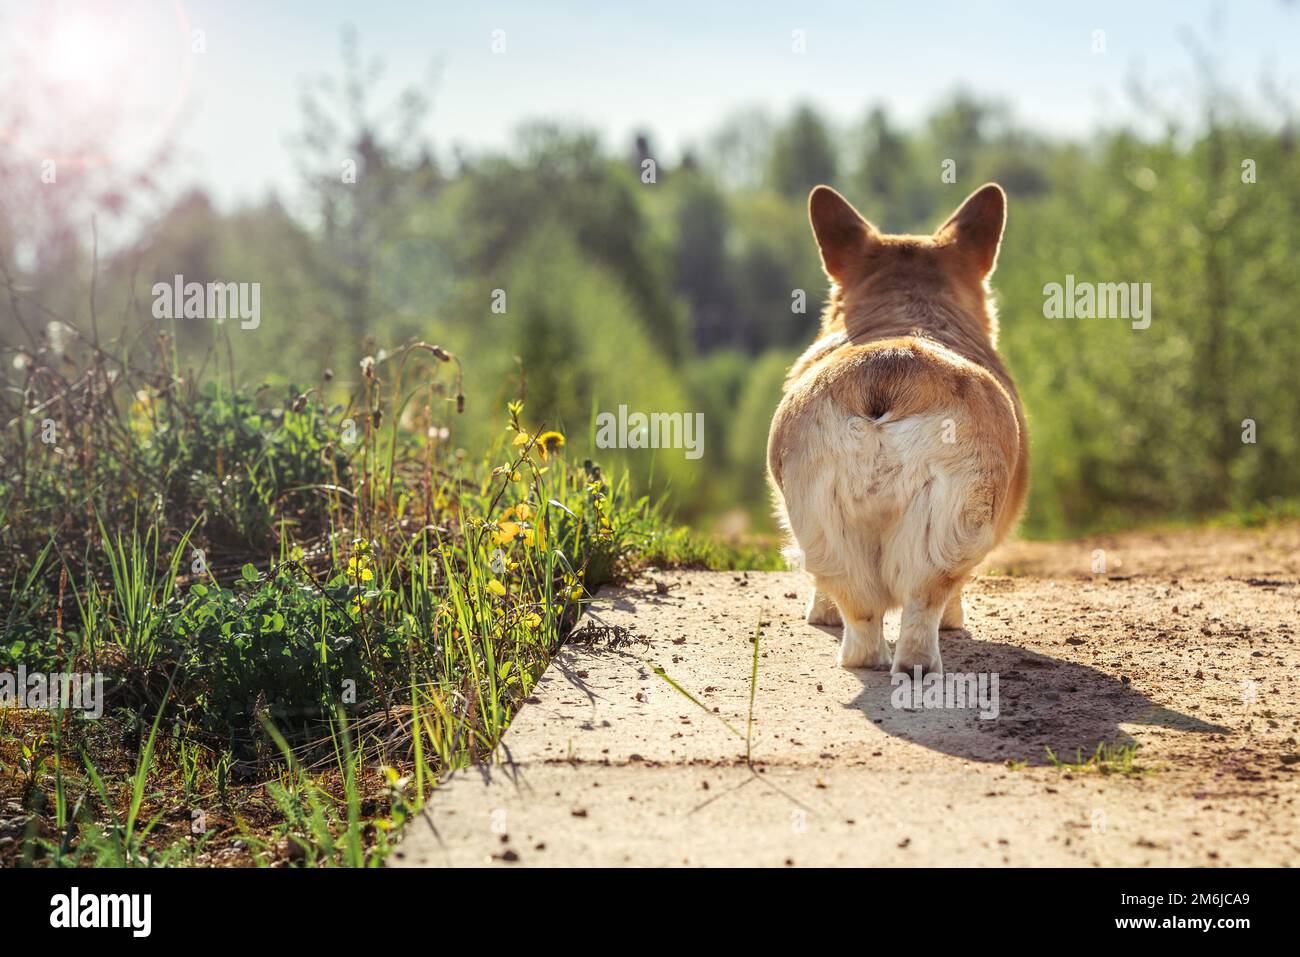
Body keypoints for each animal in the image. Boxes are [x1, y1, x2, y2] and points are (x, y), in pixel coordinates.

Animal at [764, 184, 1029, 670]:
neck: (909, 310)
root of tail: (887, 371)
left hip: (822, 527)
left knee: (861, 614)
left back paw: (867, 659)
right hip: (952, 527)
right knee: (924, 605)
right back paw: (920, 662)